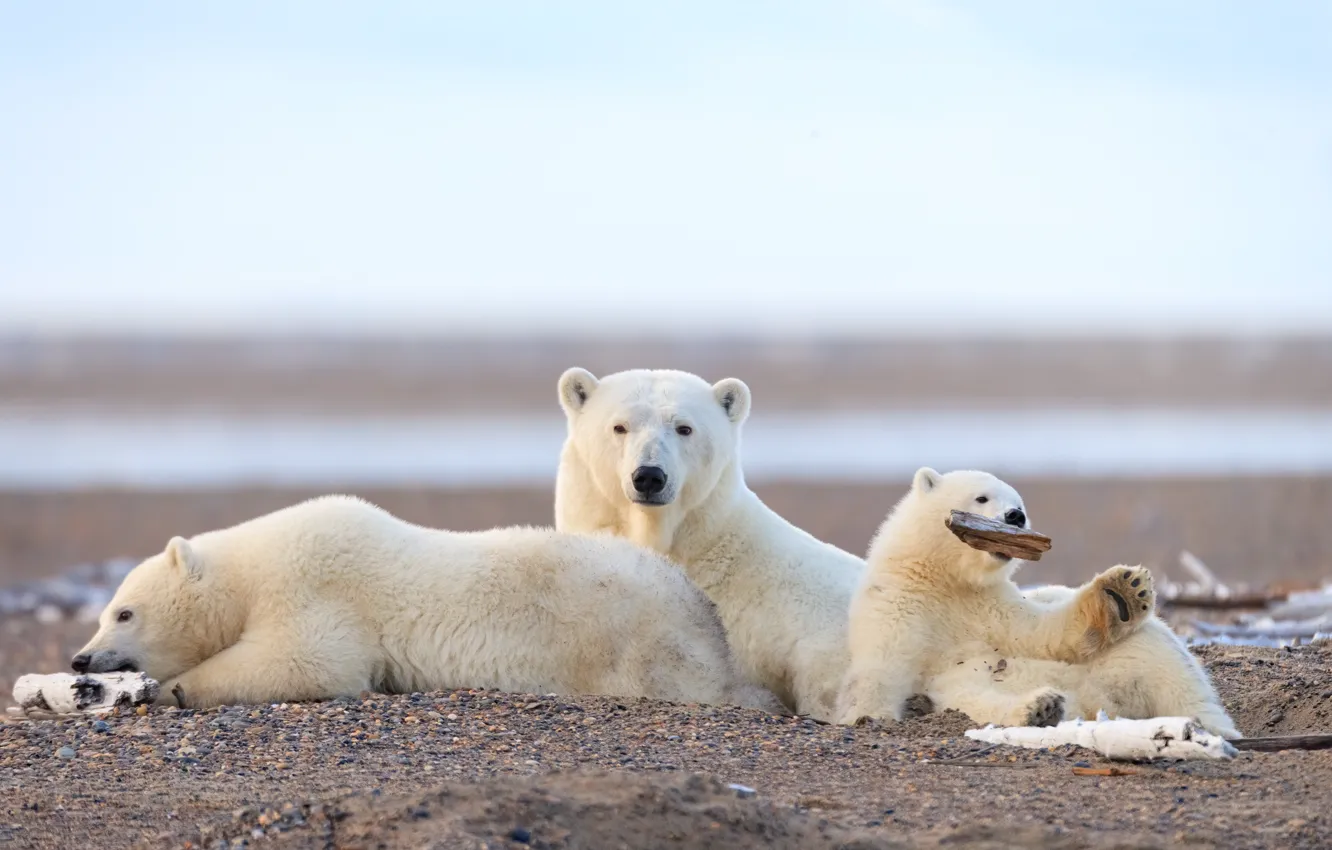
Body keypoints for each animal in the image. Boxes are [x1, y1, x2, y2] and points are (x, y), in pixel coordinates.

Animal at [71, 495, 786, 713]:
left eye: (124, 611)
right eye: (105, 610)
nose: (80, 660)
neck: (249, 571)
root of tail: (704, 612)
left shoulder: (318, 586)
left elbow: (310, 661)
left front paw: (176, 688)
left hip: (632, 638)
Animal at [836, 467, 1240, 739]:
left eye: (1020, 504)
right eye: (982, 497)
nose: (1015, 517)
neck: (947, 581)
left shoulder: (989, 605)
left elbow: (1042, 634)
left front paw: (1122, 592)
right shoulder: (901, 604)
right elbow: (882, 669)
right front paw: (865, 715)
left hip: (1136, 658)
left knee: (1169, 671)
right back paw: (1041, 707)